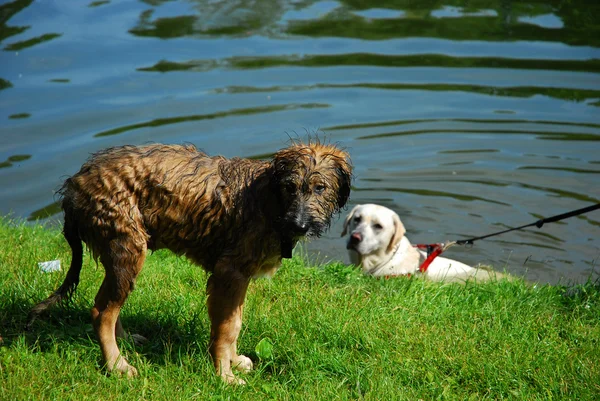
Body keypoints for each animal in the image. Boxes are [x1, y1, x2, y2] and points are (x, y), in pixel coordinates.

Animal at [29, 140, 352, 382]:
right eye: (290, 187)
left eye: (320, 188)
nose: (299, 225)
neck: (270, 202)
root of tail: (76, 182)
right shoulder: (228, 273)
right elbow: (225, 329)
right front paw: (224, 376)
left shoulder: (240, 277)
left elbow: (234, 322)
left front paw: (234, 361)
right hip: (128, 249)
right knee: (101, 312)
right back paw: (116, 365)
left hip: (122, 256)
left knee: (110, 304)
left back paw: (126, 341)